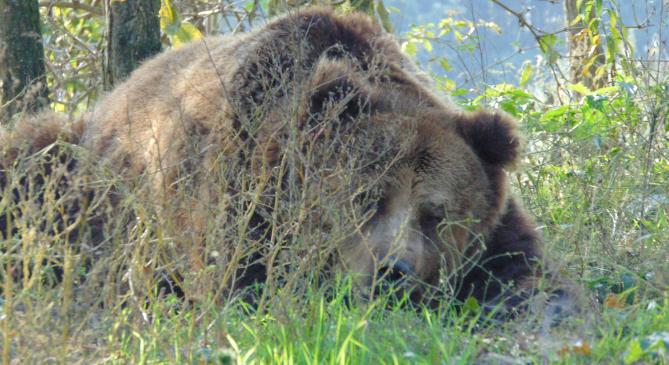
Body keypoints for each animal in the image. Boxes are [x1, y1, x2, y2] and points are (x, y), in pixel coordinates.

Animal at [0, 6, 564, 312]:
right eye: (365, 198)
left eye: (437, 214)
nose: (392, 272)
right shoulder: (235, 196)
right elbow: (243, 282)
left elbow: (524, 270)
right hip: (80, 174)